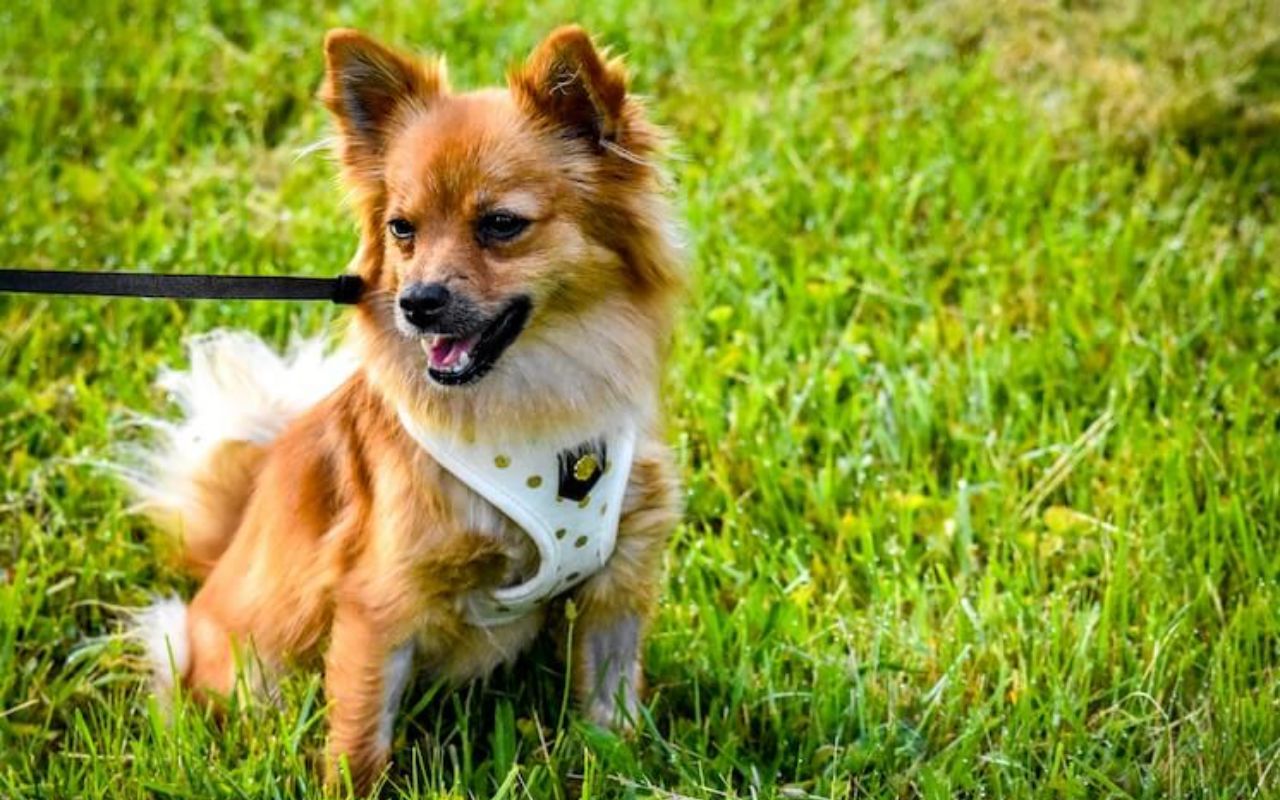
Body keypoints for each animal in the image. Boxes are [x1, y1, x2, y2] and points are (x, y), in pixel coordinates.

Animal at [128, 23, 686, 788]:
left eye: (502, 225)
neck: (532, 398)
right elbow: (361, 742)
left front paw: (619, 768)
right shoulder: (379, 604)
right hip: (256, 675)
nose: (417, 302)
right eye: (401, 229)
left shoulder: (616, 582)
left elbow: (610, 712)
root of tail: (216, 564)